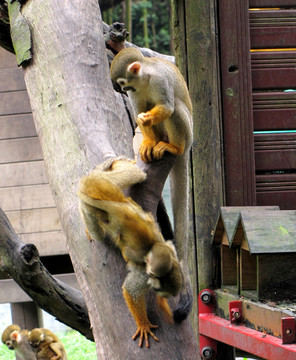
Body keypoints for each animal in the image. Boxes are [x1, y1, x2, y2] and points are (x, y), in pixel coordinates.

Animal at [77, 159, 184, 348]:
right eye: (159, 290)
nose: (160, 295)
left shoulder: (171, 253)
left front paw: (163, 305)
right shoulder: (144, 274)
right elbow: (130, 290)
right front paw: (143, 325)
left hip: (108, 186)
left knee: (136, 175)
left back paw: (115, 165)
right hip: (92, 207)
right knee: (97, 232)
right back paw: (89, 227)